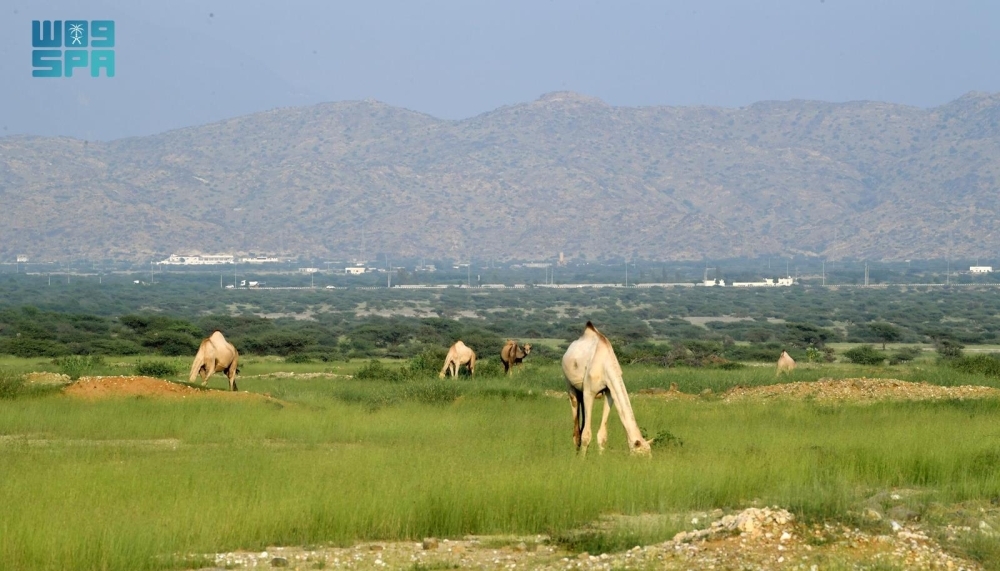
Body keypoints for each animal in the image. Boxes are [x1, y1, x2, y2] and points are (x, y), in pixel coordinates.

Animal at [562, 322, 652, 456]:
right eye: (640, 455)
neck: (605, 365)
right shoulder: (589, 392)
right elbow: (586, 435)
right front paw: (582, 460)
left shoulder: (609, 392)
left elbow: (602, 435)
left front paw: (600, 458)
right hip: (570, 386)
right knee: (577, 429)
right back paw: (577, 454)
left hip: (581, 391)